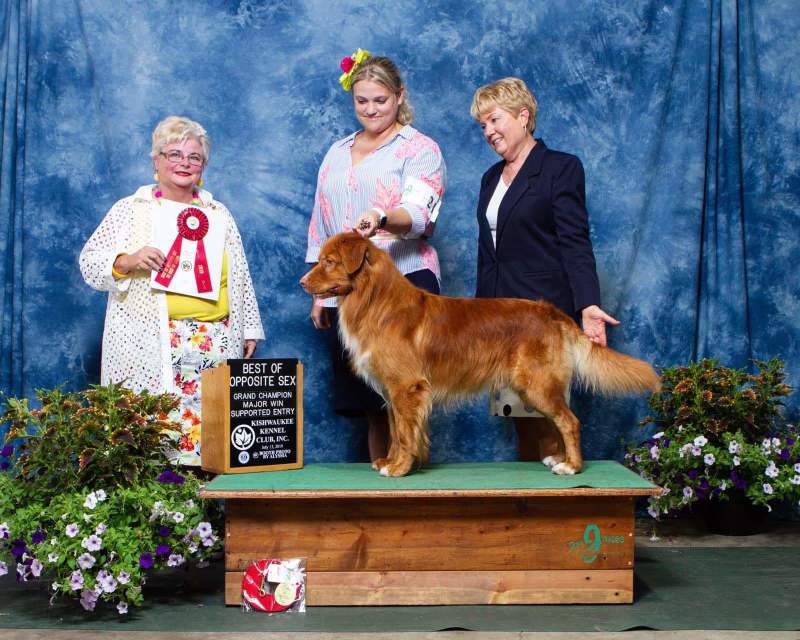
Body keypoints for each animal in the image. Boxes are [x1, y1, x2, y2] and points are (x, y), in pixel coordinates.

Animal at [304, 232, 660, 478]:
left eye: (329, 261)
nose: (302, 281)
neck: (374, 300)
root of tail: (551, 312)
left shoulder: (407, 387)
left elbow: (405, 433)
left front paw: (400, 467)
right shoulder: (393, 392)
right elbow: (395, 431)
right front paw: (390, 461)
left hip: (537, 383)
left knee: (569, 421)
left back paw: (570, 466)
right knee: (558, 420)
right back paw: (558, 458)